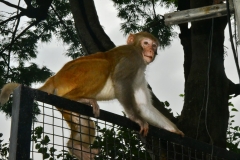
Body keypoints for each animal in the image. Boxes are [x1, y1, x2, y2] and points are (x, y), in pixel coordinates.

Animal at [0, 31, 184, 160]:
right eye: (145, 43)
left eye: (154, 45)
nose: (150, 50)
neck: (138, 54)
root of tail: (54, 78)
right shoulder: (131, 59)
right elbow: (121, 83)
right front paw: (137, 119)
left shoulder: (139, 74)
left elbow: (144, 106)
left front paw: (176, 132)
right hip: (70, 76)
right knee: (103, 66)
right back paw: (78, 98)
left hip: (65, 102)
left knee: (84, 122)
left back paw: (75, 147)